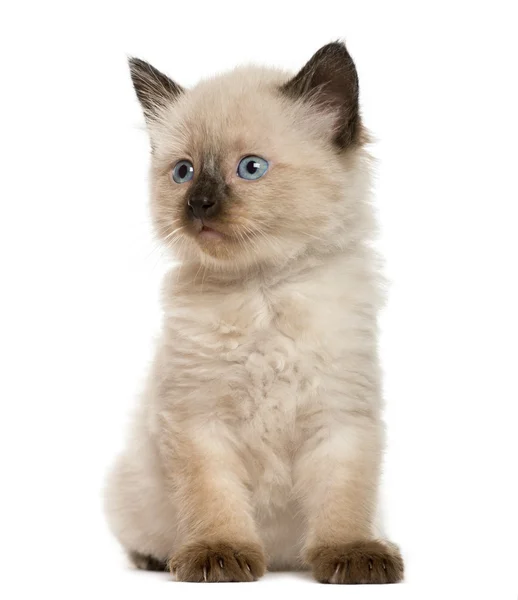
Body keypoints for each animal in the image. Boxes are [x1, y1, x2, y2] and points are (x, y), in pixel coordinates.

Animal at [105, 43, 406, 584]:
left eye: (250, 168)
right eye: (183, 172)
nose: (199, 204)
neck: (262, 291)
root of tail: (285, 560)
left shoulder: (341, 419)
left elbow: (344, 500)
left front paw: (350, 554)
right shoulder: (198, 422)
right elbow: (213, 500)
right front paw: (217, 555)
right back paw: (155, 559)